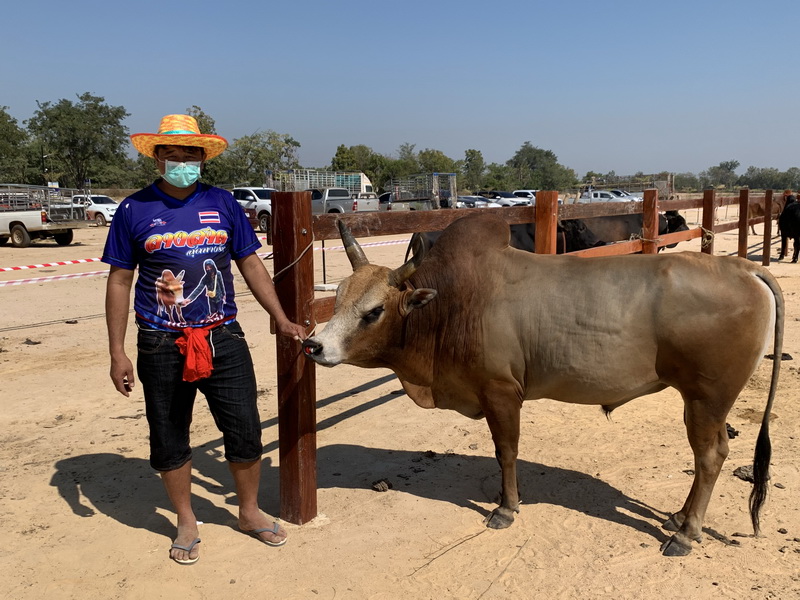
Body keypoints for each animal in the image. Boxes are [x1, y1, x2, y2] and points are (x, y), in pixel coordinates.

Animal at [304, 213, 784, 556]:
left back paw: (686, 534)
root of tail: (743, 268)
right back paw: (680, 519)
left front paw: (506, 507)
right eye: (339, 297)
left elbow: (506, 453)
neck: (451, 305)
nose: (313, 345)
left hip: (708, 398)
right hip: (698, 401)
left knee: (710, 456)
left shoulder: (500, 392)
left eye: (373, 311)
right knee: (708, 457)